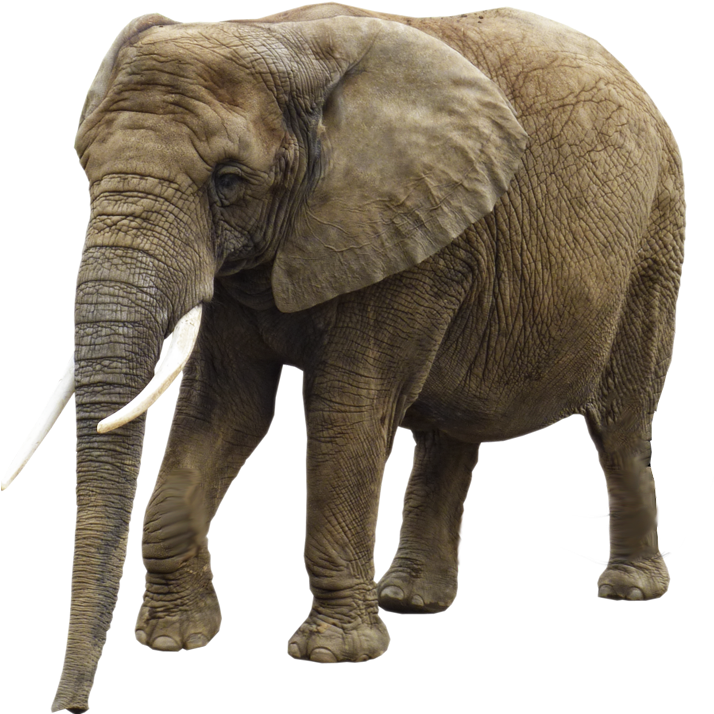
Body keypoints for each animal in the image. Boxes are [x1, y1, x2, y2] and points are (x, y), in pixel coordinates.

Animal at [2, 4, 685, 712]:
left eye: (228, 182)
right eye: (86, 168)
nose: (69, 707)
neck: (278, 39)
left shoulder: (403, 233)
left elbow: (346, 410)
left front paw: (333, 655)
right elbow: (226, 412)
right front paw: (172, 639)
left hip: (654, 236)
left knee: (620, 422)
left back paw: (629, 589)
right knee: (449, 431)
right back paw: (409, 600)